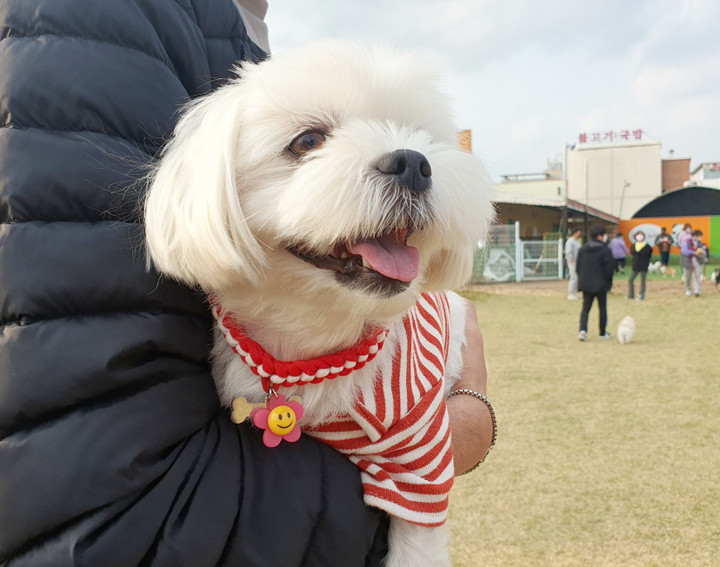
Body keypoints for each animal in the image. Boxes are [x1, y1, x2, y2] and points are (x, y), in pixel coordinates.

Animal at [145, 41, 496, 567]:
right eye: (307, 141)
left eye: (421, 136)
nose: (413, 162)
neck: (317, 349)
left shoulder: (423, 465)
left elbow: (417, 541)